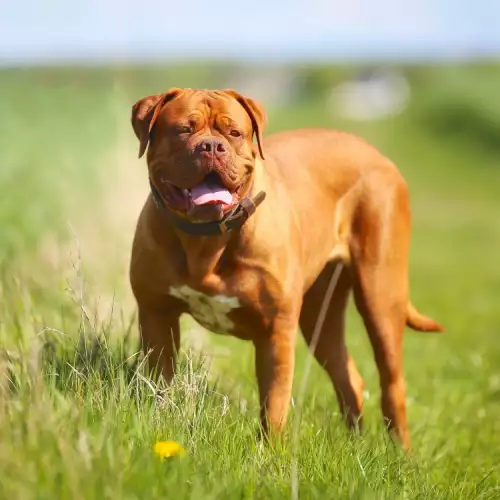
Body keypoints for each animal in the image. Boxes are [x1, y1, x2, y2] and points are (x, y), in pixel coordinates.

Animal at [128, 88, 442, 452]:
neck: (205, 239)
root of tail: (377, 154)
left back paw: (401, 453)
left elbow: (274, 402)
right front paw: (158, 424)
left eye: (234, 133)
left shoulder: (275, 331)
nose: (212, 146)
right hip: (320, 314)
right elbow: (158, 382)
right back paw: (355, 445)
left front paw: (269, 453)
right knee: (347, 374)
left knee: (392, 383)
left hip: (380, 295)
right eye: (183, 130)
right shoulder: (156, 314)